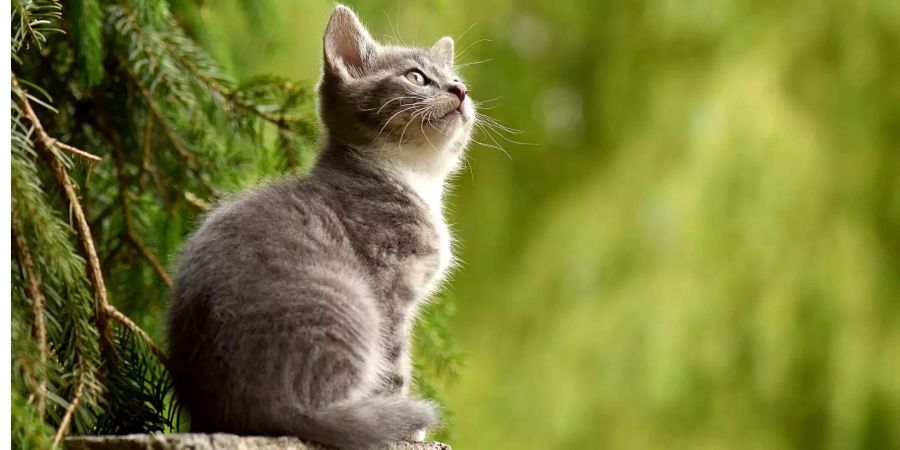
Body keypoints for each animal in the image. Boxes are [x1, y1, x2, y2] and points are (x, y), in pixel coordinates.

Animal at [171, 4, 478, 450]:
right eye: (416, 77)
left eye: (457, 79)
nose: (460, 91)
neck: (412, 177)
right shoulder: (390, 290)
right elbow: (395, 364)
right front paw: (408, 427)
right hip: (352, 305)